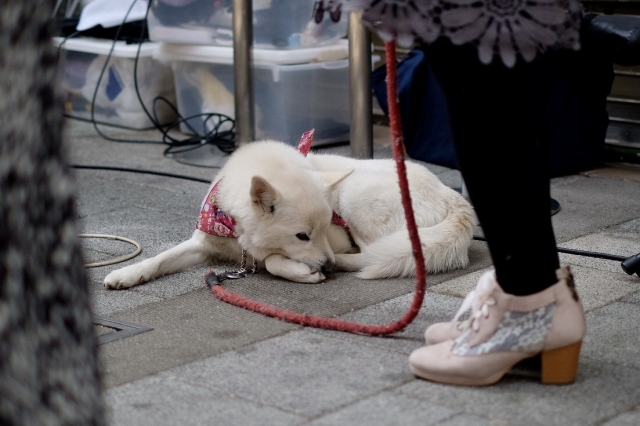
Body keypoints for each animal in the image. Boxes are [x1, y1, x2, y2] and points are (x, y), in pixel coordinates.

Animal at [104, 140, 476, 290]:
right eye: (302, 235)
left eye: (325, 228)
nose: (327, 266)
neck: (237, 230)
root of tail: (454, 197)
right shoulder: (205, 242)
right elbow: (162, 258)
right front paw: (127, 274)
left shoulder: (337, 238)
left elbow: (269, 260)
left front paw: (300, 271)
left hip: (356, 196)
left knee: (377, 252)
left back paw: (346, 263)